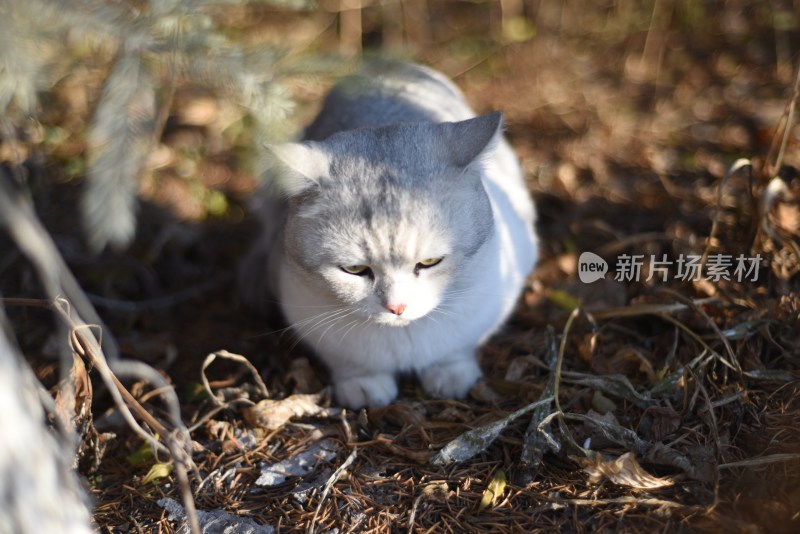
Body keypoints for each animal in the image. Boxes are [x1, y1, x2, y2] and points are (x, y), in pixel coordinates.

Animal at [239, 60, 536, 410]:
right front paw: (364, 386)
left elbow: (455, 350)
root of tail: (384, 65)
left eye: (430, 262)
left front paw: (450, 375)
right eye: (354, 269)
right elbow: (352, 365)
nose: (397, 308)